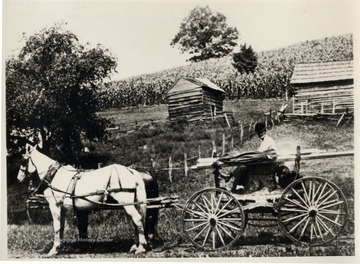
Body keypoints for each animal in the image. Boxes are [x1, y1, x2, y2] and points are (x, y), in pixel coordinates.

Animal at [16, 143, 148, 256]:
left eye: (23, 160)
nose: (18, 178)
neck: (53, 176)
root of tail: (130, 170)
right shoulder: (61, 208)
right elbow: (61, 227)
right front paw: (59, 247)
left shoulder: (54, 205)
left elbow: (56, 227)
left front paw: (53, 250)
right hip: (129, 203)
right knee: (135, 221)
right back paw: (135, 246)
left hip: (126, 203)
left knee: (137, 219)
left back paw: (141, 247)